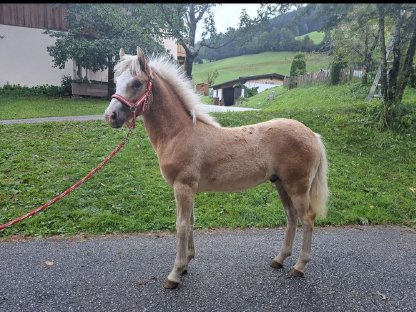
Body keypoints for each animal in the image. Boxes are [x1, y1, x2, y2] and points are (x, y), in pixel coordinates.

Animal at [103, 47, 328, 288]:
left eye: (137, 83)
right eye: (117, 79)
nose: (110, 116)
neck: (179, 134)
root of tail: (312, 134)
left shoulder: (183, 186)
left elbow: (182, 225)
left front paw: (175, 273)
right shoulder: (188, 188)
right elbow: (191, 222)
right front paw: (186, 263)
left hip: (297, 187)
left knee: (307, 218)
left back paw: (299, 266)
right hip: (281, 184)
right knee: (291, 216)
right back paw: (279, 259)